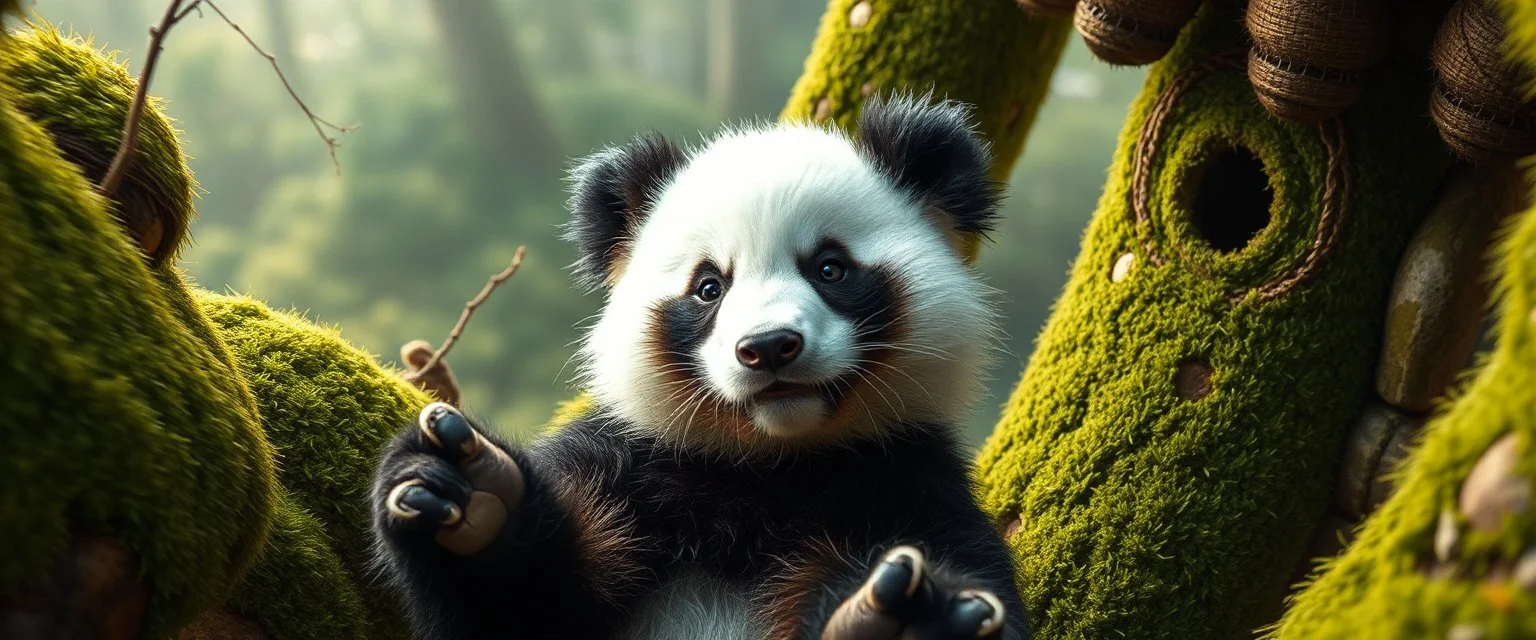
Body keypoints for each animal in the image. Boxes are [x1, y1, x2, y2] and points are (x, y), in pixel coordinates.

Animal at [369, 93, 1027, 640]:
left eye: (830, 268)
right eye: (709, 287)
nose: (769, 346)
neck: (769, 464)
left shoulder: (905, 484)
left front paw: (912, 622)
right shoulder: (638, 463)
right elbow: (523, 611)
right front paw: (475, 498)